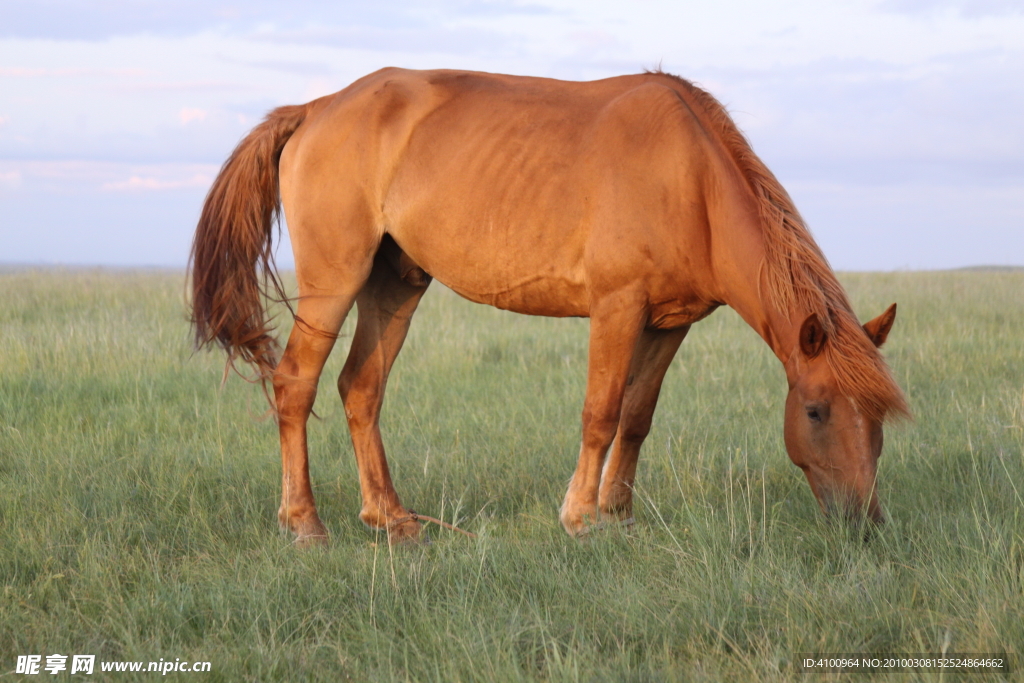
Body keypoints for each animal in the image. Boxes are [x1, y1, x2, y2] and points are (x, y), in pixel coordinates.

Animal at [188, 68, 909, 548]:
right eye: (814, 411)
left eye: (878, 419)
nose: (865, 524)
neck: (691, 181)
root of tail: (314, 109)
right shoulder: (618, 307)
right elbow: (601, 413)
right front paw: (581, 517)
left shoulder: (669, 324)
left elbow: (637, 417)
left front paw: (619, 514)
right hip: (335, 280)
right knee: (295, 385)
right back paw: (305, 523)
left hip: (395, 285)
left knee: (360, 388)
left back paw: (392, 518)